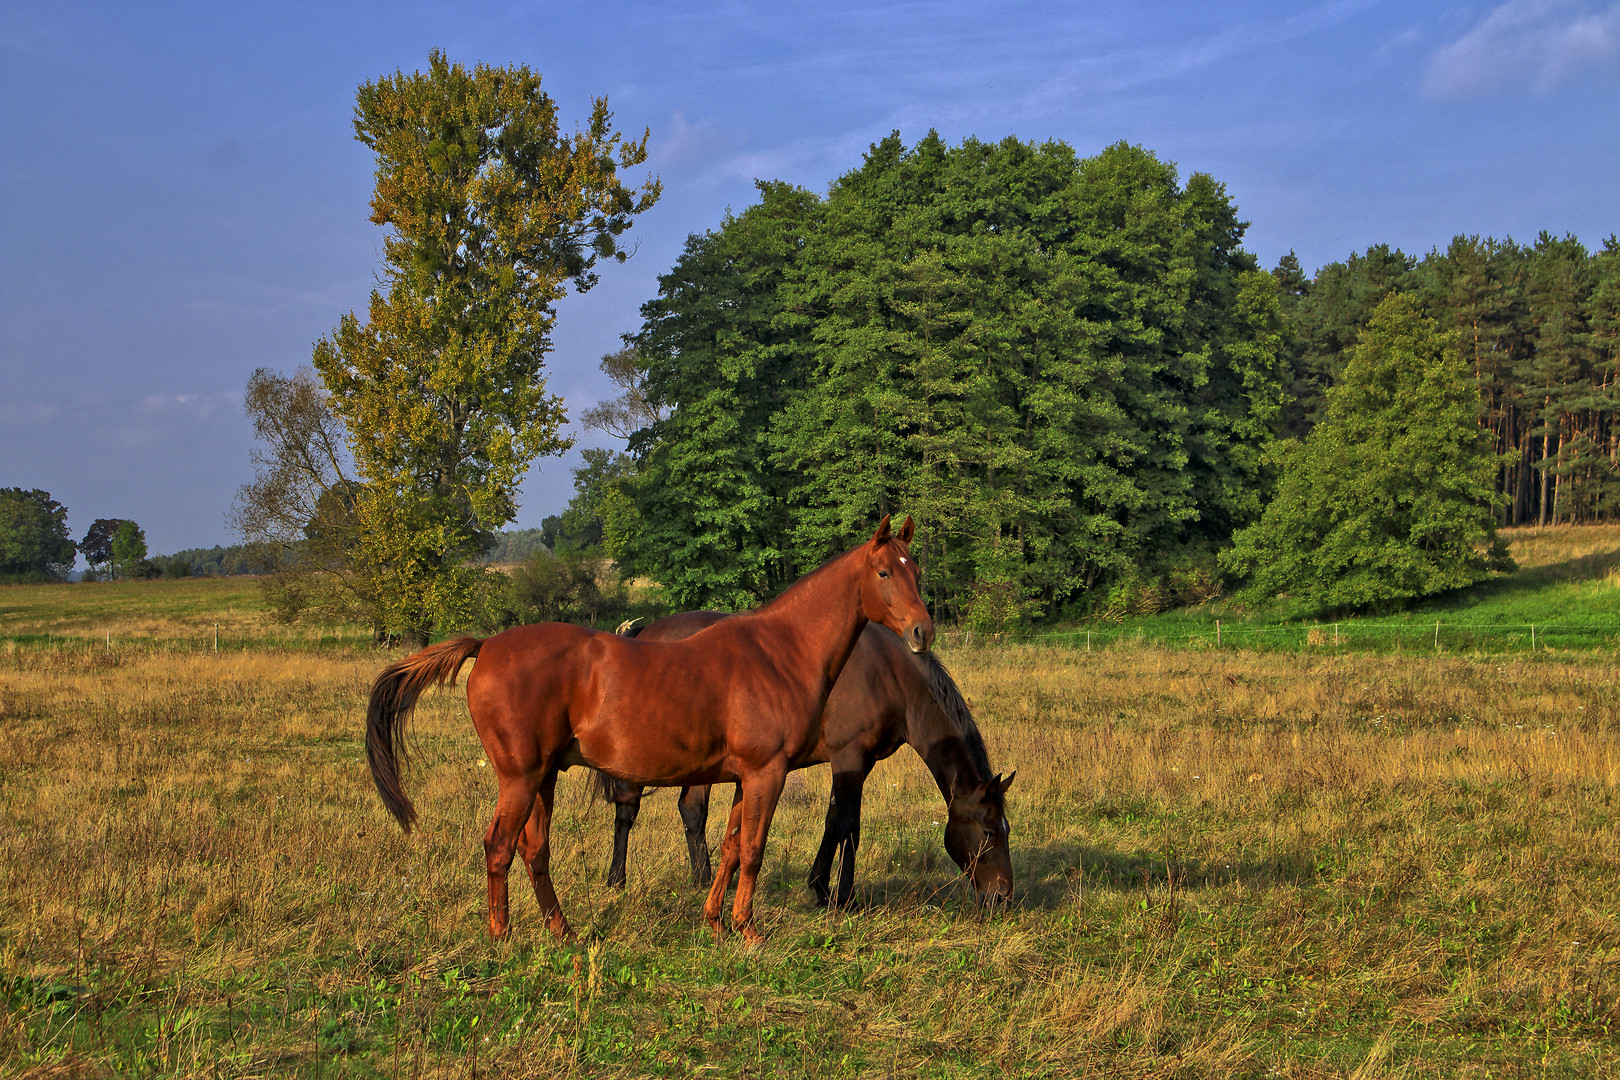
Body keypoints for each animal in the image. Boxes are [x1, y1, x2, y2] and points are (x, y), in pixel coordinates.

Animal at [362, 518, 933, 939]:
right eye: (884, 572)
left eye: (917, 573)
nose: (922, 632)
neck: (780, 651)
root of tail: (486, 646)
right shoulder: (766, 773)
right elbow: (752, 850)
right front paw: (748, 930)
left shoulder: (745, 778)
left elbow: (730, 847)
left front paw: (715, 922)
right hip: (520, 779)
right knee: (499, 847)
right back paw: (501, 937)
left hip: (543, 779)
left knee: (534, 850)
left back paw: (563, 931)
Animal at [602, 612, 1017, 906]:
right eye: (988, 832)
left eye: (1006, 829)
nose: (1002, 897)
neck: (889, 674)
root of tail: (644, 633)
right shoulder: (850, 756)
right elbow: (849, 825)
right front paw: (844, 898)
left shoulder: (853, 762)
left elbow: (833, 821)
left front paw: (820, 887)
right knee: (628, 808)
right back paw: (616, 880)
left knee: (691, 809)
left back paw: (703, 880)